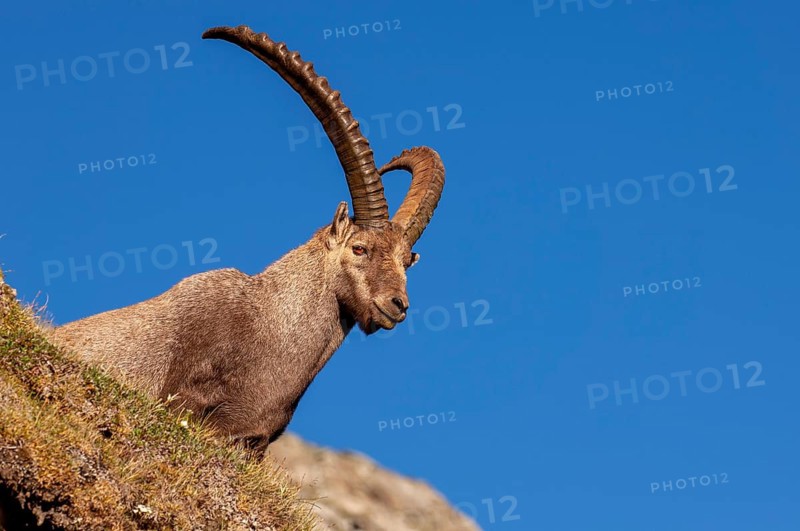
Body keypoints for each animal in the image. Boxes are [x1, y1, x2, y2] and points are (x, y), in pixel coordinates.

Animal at [50, 25, 444, 455]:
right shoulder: (183, 396)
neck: (270, 329)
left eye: (406, 262)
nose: (398, 306)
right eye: (360, 248)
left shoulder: (255, 440)